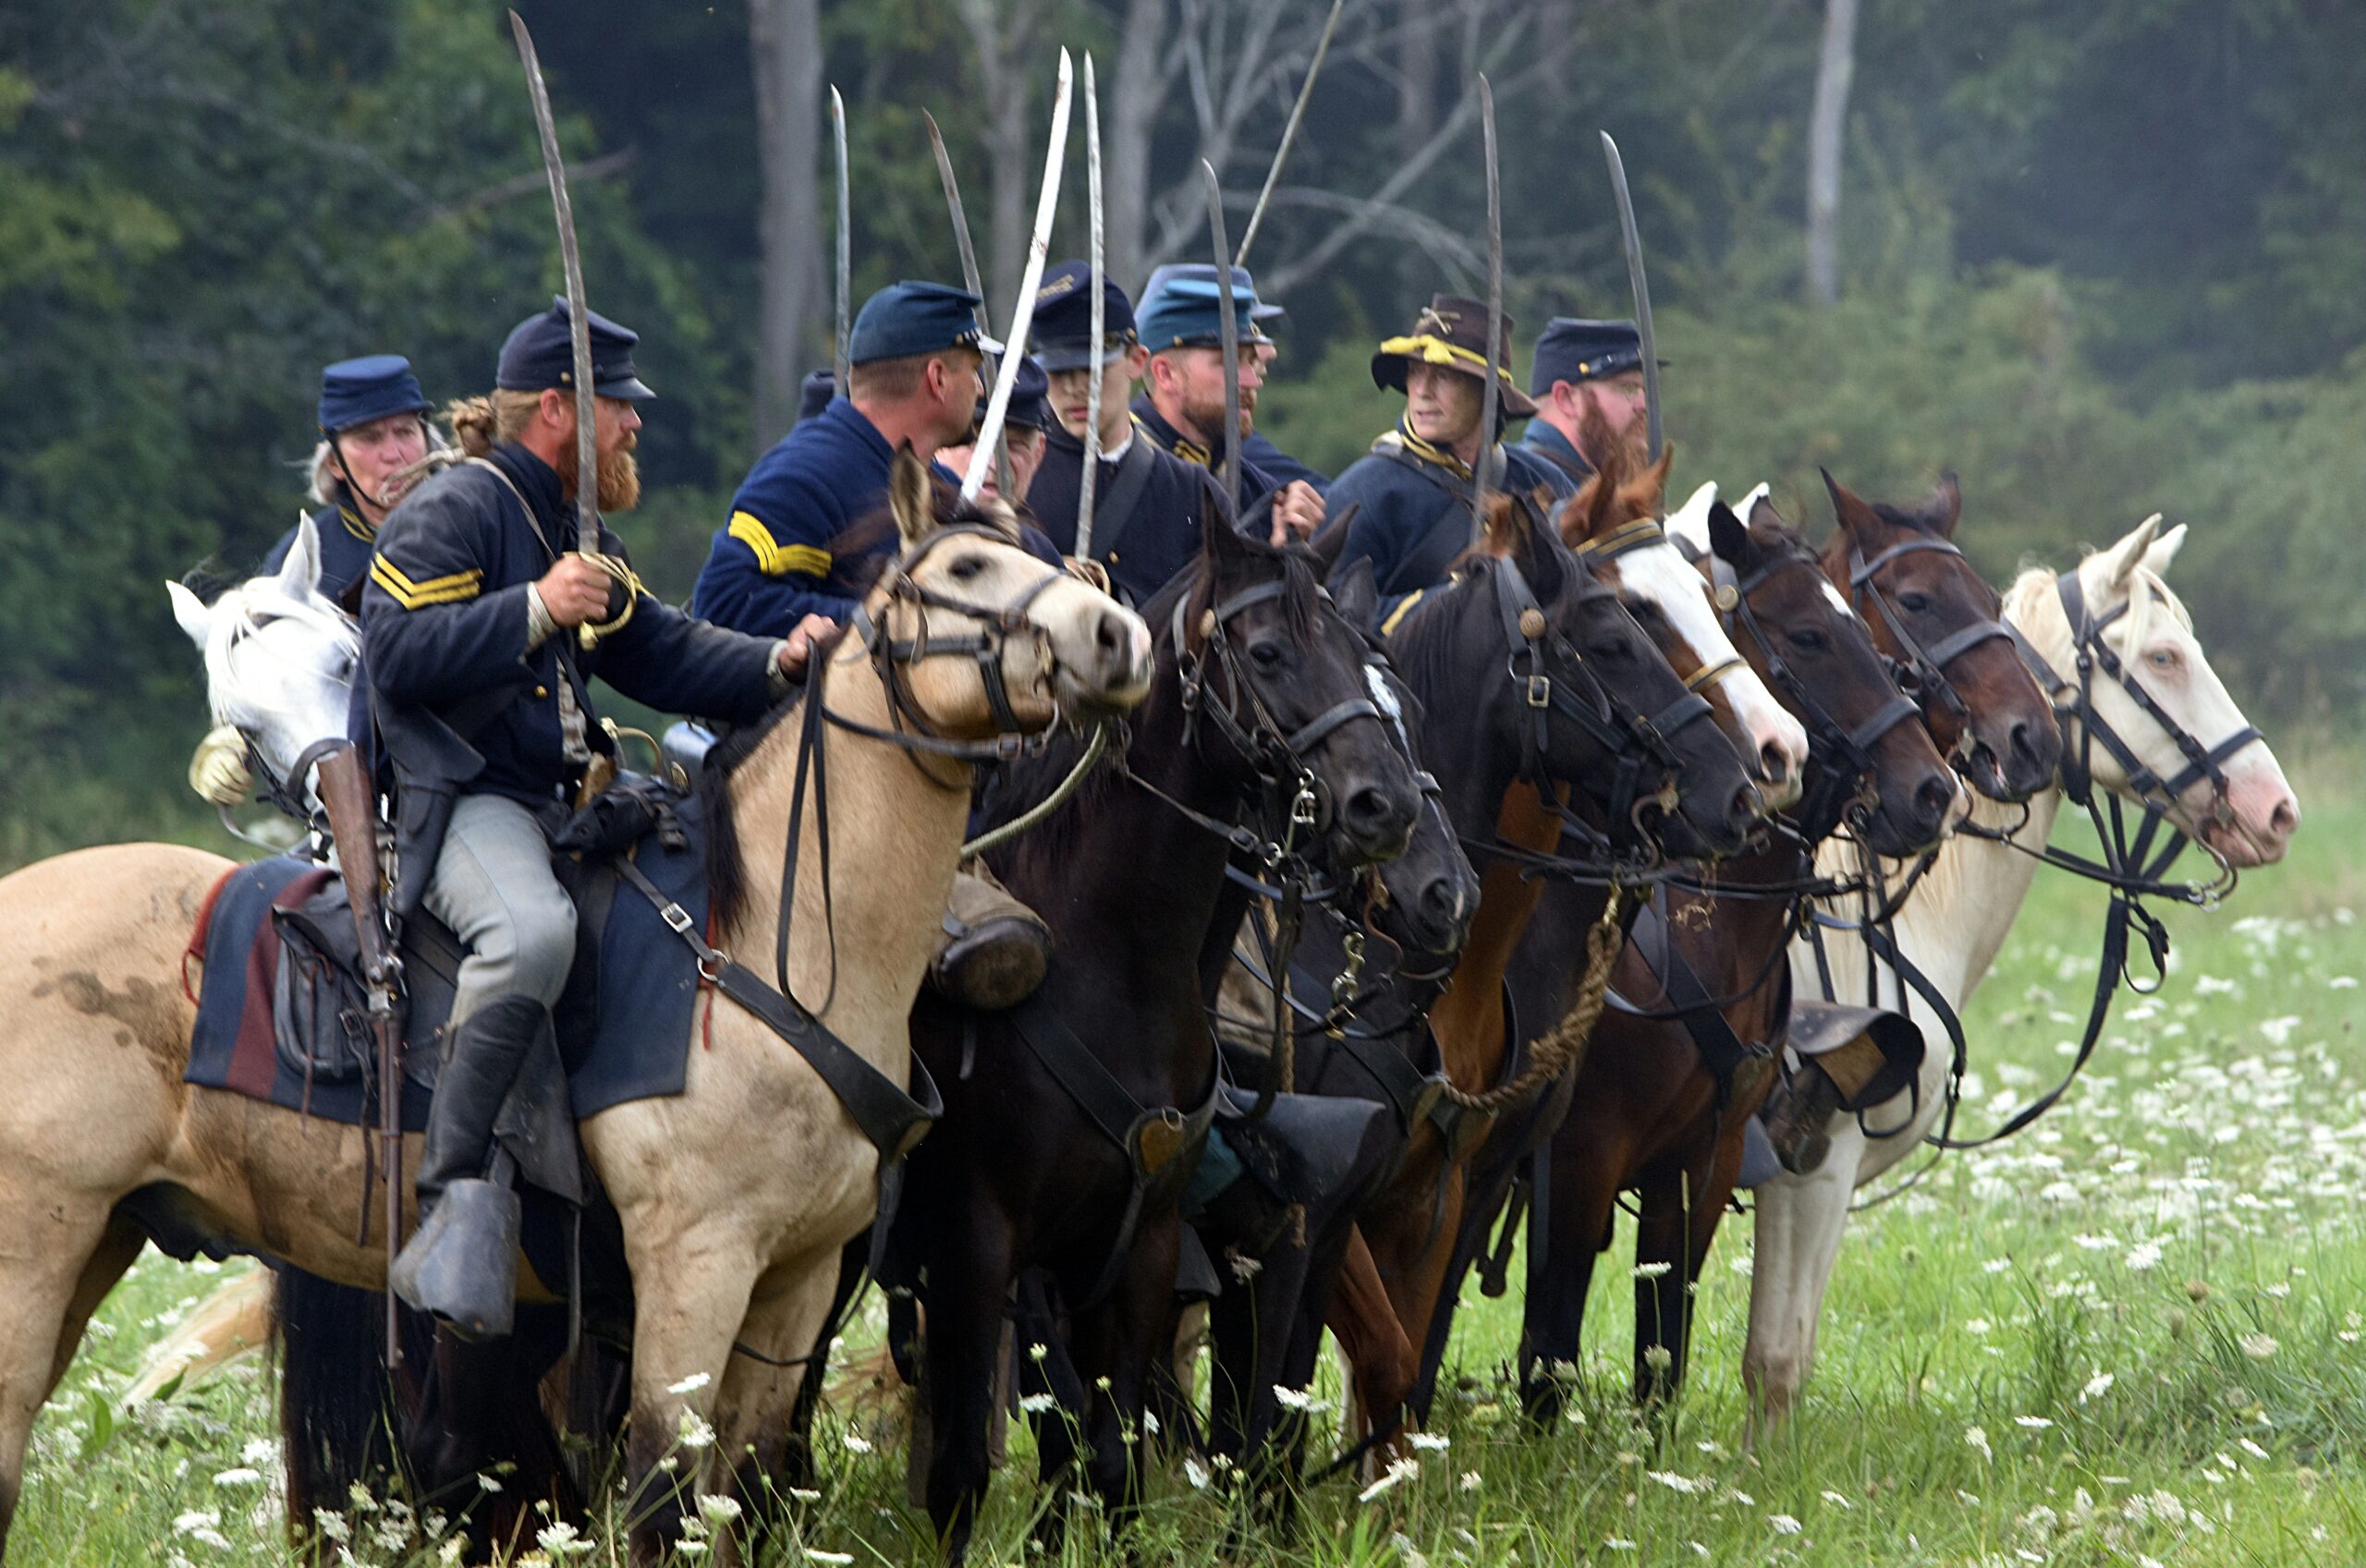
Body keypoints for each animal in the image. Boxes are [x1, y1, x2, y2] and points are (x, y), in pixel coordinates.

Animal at [0, 446, 1150, 1561]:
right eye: (966, 568)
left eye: (1042, 550)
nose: (1118, 634)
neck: (765, 947)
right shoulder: (692, 1275)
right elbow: (656, 1504)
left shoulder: (792, 1288)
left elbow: (737, 1498)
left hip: (100, 1240)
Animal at [1514, 484, 1958, 1418]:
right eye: (1808, 636)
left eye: (1862, 630)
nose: (1933, 791)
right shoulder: (1577, 1164)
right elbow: (1550, 1353)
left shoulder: (1702, 1164)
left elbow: (1661, 1355)